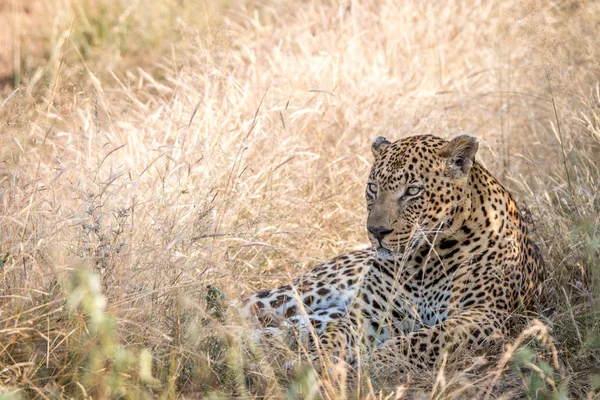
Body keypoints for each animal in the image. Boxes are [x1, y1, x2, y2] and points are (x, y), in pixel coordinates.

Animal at [237, 134, 548, 378]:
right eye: (373, 188)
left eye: (413, 191)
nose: (376, 231)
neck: (424, 261)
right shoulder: (367, 314)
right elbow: (334, 338)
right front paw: (315, 362)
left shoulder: (485, 315)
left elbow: (423, 339)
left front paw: (374, 362)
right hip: (297, 294)